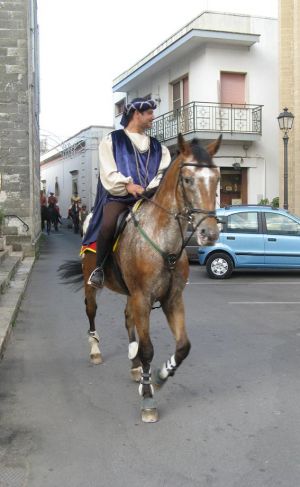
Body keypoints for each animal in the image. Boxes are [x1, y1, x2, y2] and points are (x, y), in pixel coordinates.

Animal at [59, 133, 221, 424]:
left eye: (216, 179)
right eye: (188, 179)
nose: (209, 233)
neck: (164, 241)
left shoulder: (171, 299)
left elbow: (183, 346)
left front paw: (159, 376)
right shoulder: (143, 298)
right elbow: (147, 349)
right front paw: (148, 398)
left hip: (131, 295)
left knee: (127, 319)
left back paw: (135, 367)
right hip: (94, 283)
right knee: (91, 311)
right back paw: (96, 351)